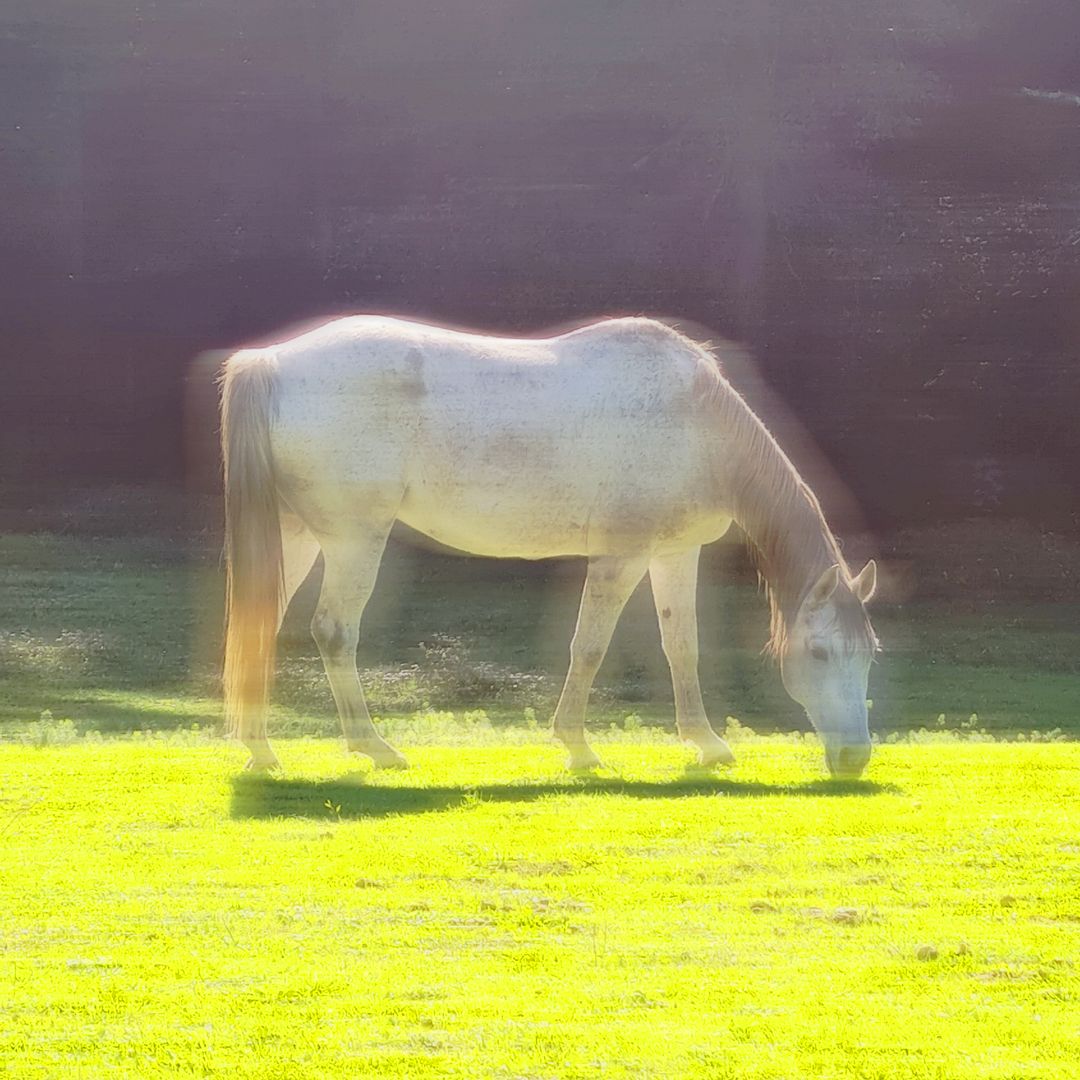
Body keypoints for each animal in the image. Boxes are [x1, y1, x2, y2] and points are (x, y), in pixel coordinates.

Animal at [221, 313, 876, 777]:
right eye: (820, 654)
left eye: (869, 654)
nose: (855, 759)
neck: (695, 422)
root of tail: (272, 361)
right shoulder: (621, 557)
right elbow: (588, 647)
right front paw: (578, 747)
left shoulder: (673, 554)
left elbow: (682, 647)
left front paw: (707, 744)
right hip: (355, 540)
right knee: (335, 631)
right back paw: (374, 747)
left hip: (297, 537)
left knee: (259, 622)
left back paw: (262, 750)